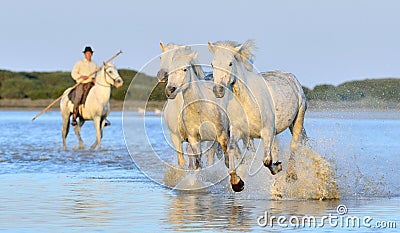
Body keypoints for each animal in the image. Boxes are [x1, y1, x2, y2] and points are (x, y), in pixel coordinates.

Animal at [209, 39, 310, 184]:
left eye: (230, 63)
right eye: (212, 64)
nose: (218, 90)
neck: (247, 102)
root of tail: (290, 76)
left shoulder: (266, 131)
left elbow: (267, 160)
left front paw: (278, 167)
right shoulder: (239, 132)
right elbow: (232, 150)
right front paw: (237, 182)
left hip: (298, 119)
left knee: (294, 145)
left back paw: (291, 175)